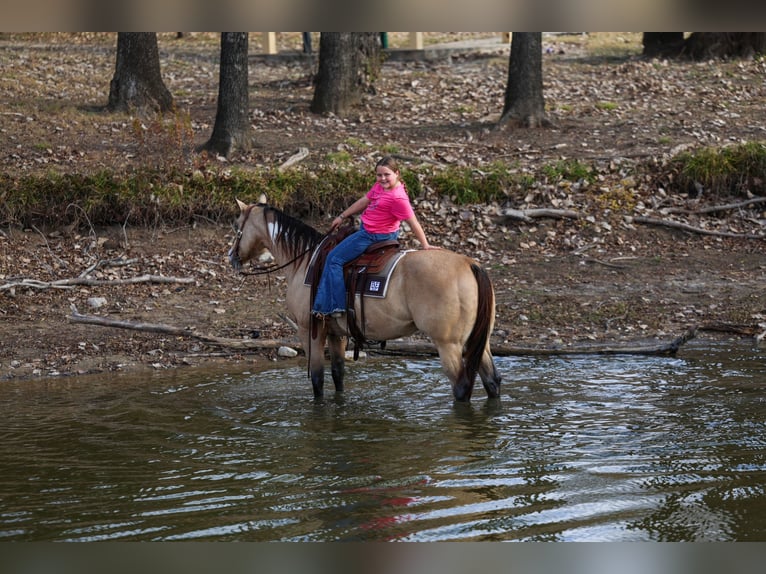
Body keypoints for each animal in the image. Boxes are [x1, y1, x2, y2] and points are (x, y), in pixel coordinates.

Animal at [228, 197, 502, 402]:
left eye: (237, 226)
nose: (232, 257)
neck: (304, 261)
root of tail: (470, 264)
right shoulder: (336, 333)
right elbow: (338, 374)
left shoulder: (310, 330)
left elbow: (317, 380)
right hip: (479, 342)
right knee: (492, 380)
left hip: (448, 345)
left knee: (461, 386)